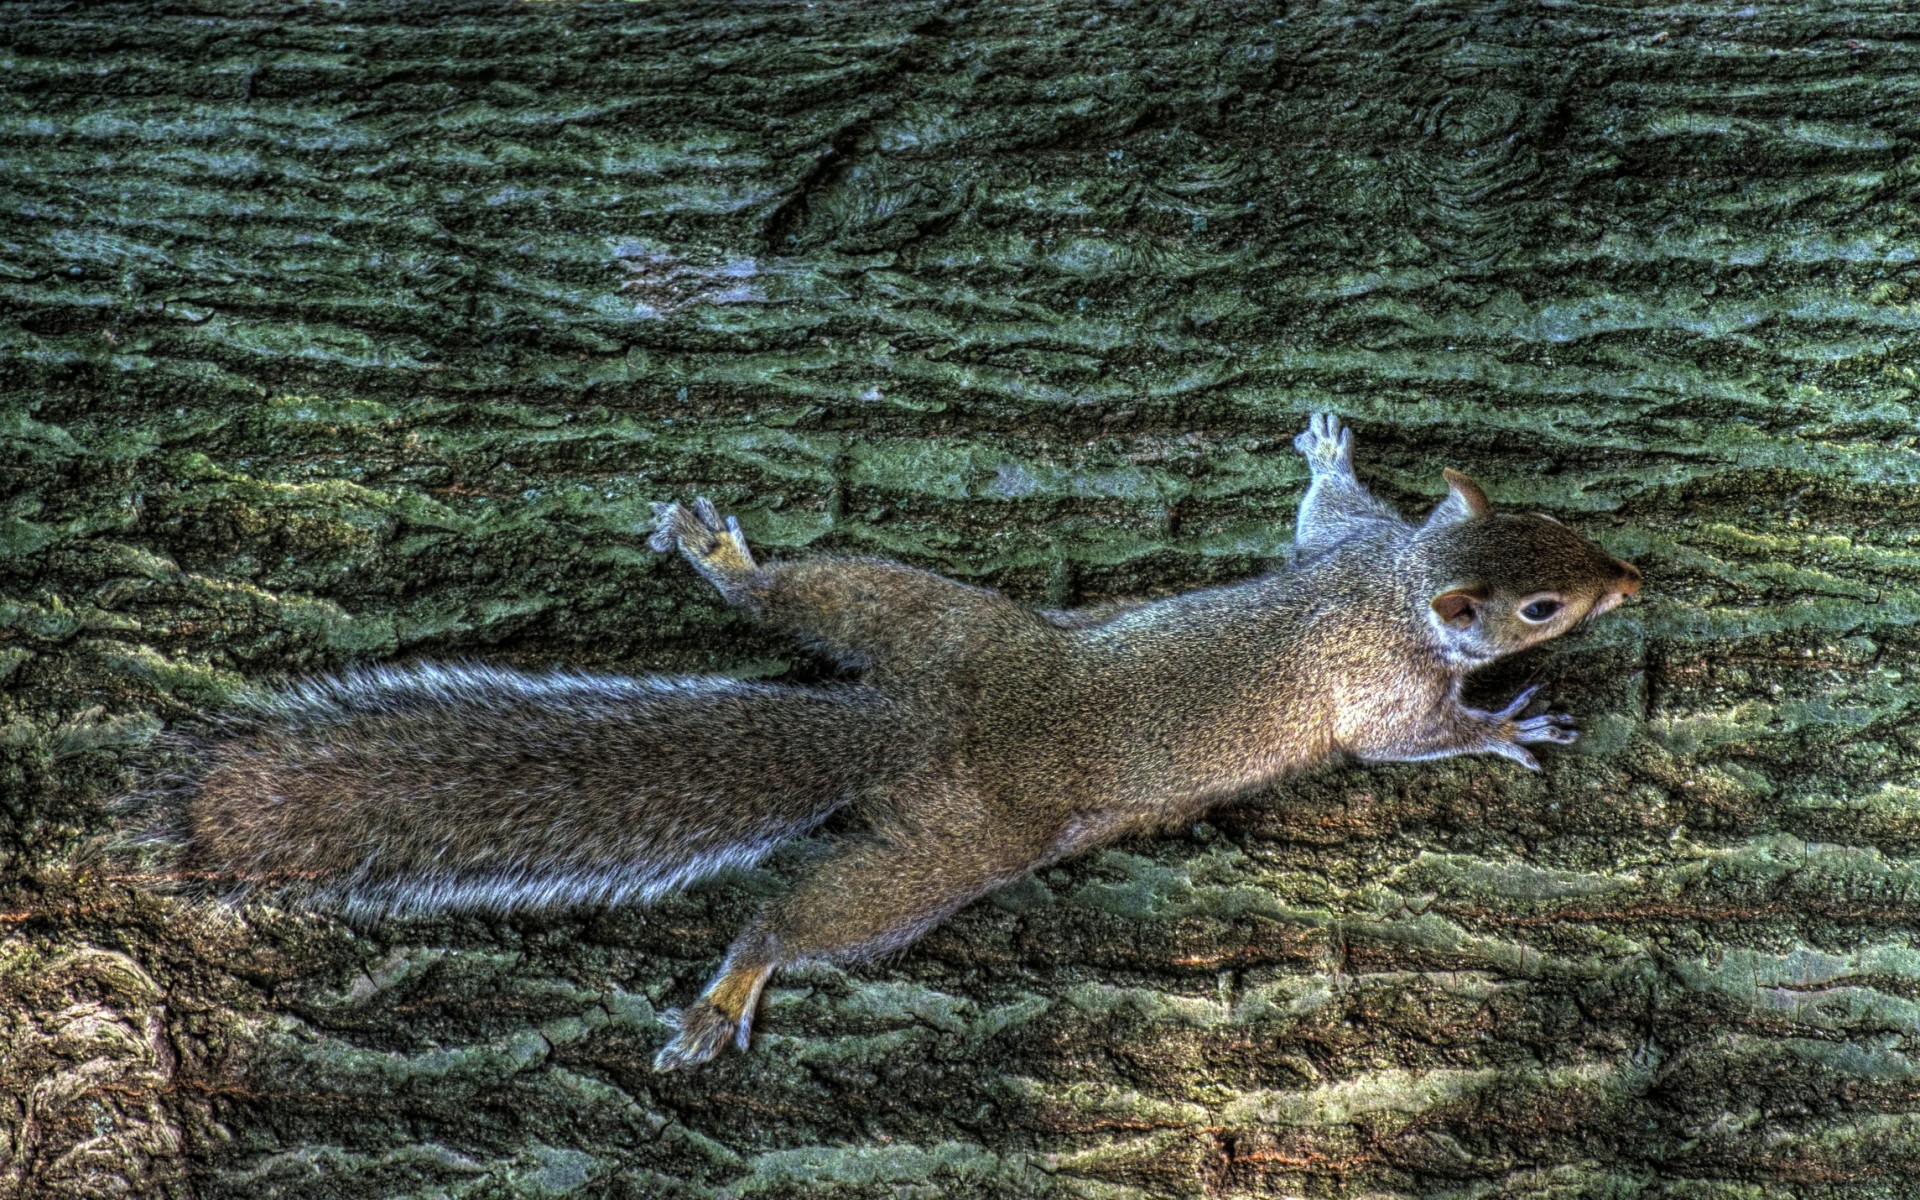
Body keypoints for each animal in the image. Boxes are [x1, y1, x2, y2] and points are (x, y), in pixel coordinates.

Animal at [161, 414, 1641, 1071]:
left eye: (1557, 530)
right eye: (1542, 607)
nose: (1632, 579)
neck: (1393, 588)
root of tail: (910, 717)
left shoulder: (1347, 552)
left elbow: (1325, 506)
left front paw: (1332, 447)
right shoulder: (1379, 679)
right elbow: (1410, 743)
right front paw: (1508, 726)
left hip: (913, 616)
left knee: (799, 597)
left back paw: (726, 565)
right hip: (946, 852)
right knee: (805, 918)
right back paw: (733, 988)